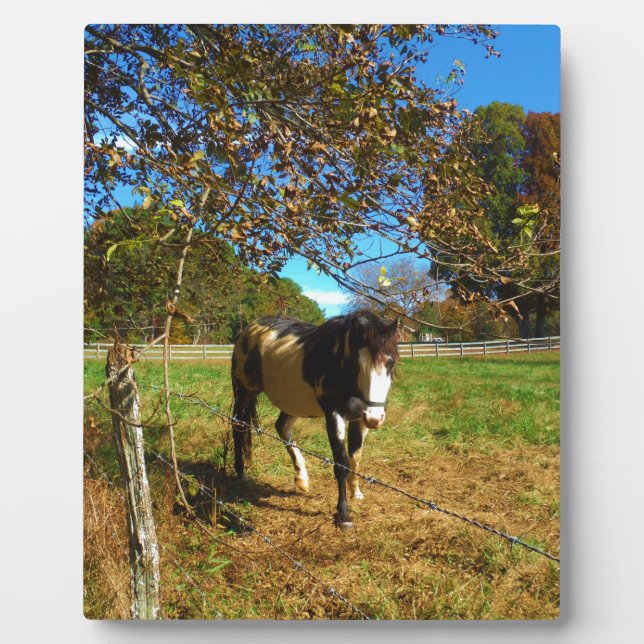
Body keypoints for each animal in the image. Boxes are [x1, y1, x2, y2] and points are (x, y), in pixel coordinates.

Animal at [230, 309, 399, 530]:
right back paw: (241, 473)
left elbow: (355, 457)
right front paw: (343, 515)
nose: (374, 418)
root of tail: (249, 329)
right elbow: (341, 464)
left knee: (282, 428)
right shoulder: (335, 415)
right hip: (243, 392)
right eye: (357, 363)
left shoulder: (359, 419)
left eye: (391, 362)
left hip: (292, 402)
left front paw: (356, 492)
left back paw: (301, 479)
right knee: (238, 428)